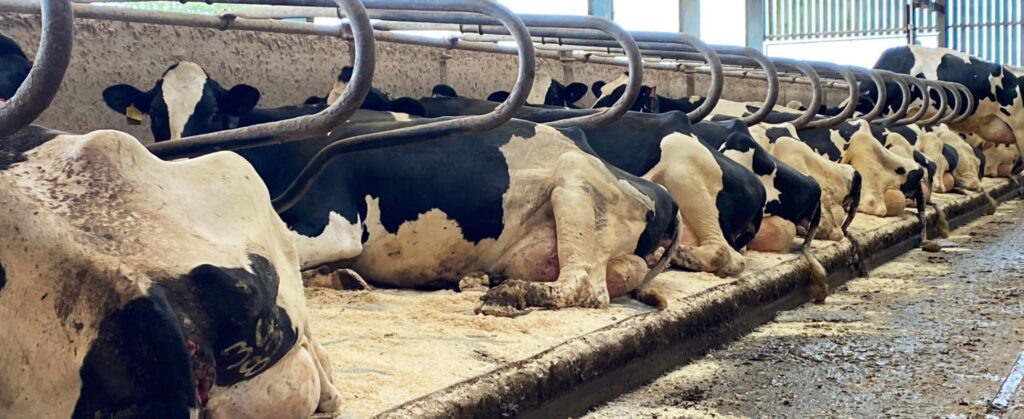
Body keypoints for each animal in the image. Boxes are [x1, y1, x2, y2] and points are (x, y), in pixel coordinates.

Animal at [103, 61, 682, 316]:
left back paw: (509, 295)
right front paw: (341, 279)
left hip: (574, 185)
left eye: (213, 114)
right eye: (156, 116)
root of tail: (659, 194)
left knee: (584, 286)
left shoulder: (332, 220)